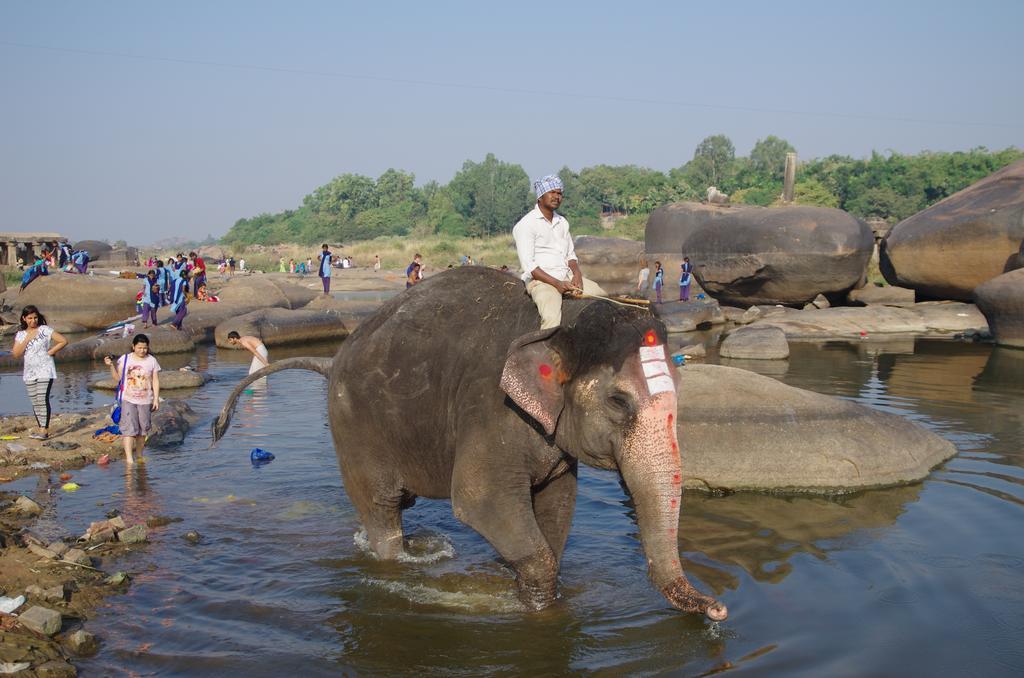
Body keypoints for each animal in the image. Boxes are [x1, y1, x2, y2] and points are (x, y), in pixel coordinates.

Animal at [214, 266, 729, 622]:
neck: (565, 323)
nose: (720, 610)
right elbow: (479, 501)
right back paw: (394, 561)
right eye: (619, 402)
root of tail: (331, 359)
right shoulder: (488, 408)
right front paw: (537, 609)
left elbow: (557, 506)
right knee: (381, 511)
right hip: (353, 427)